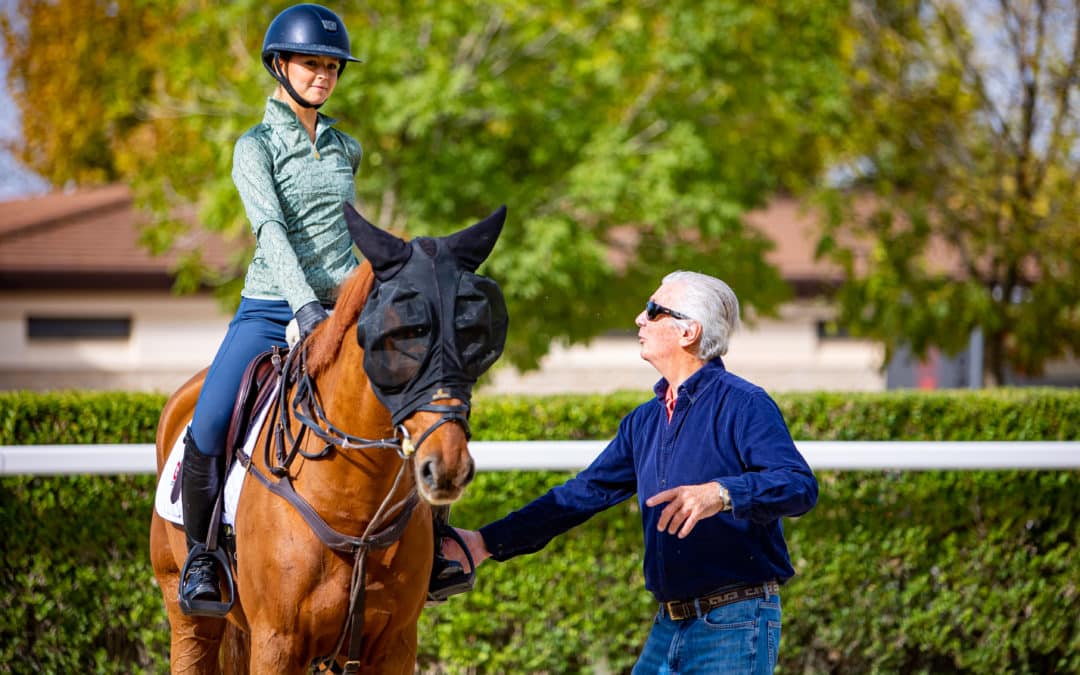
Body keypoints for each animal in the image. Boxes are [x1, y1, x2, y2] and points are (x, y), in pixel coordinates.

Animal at [147, 203, 509, 669]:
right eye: (396, 335)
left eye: (473, 334)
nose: (447, 468)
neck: (353, 508)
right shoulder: (277, 644)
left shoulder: (394, 645)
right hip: (189, 618)